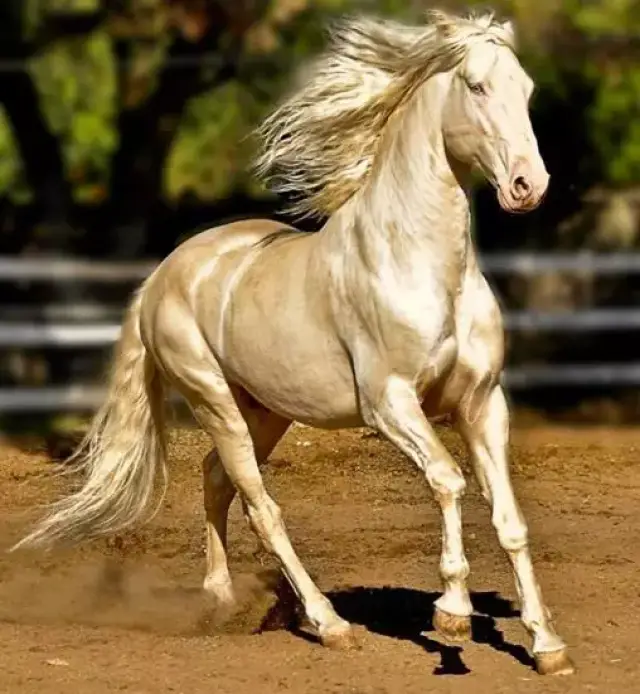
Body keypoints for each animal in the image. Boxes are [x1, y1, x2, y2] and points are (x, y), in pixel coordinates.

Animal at [12, 9, 574, 676]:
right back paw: (329, 624)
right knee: (261, 506)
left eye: (528, 90)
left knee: (215, 480)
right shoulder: (390, 405)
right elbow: (449, 481)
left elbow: (509, 517)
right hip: (214, 401)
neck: (422, 266)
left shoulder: (482, 403)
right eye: (477, 86)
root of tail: (163, 275)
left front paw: (546, 645)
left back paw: (222, 601)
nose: (528, 185)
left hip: (265, 410)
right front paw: (452, 615)